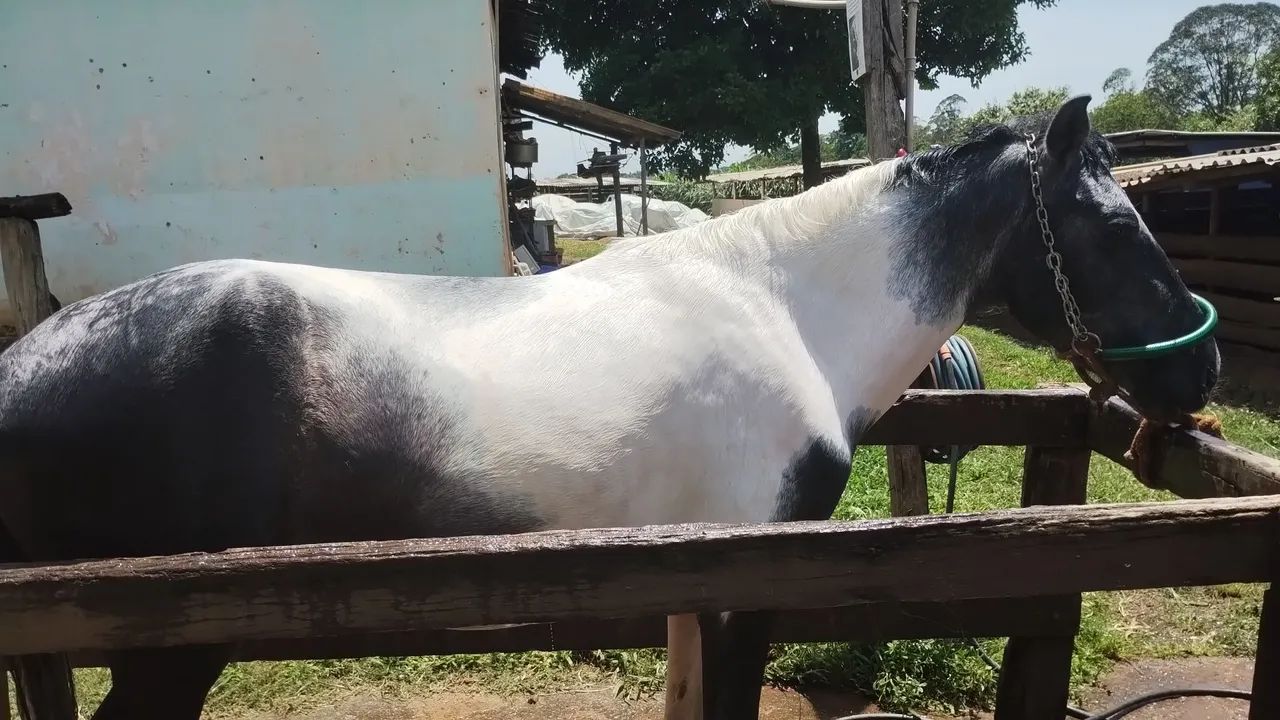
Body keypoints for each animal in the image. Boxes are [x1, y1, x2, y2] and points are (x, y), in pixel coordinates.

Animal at [0, 95, 1218, 720]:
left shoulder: (687, 577)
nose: (1199, 375)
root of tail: (25, 365)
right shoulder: (751, 583)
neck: (782, 307)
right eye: (1115, 224)